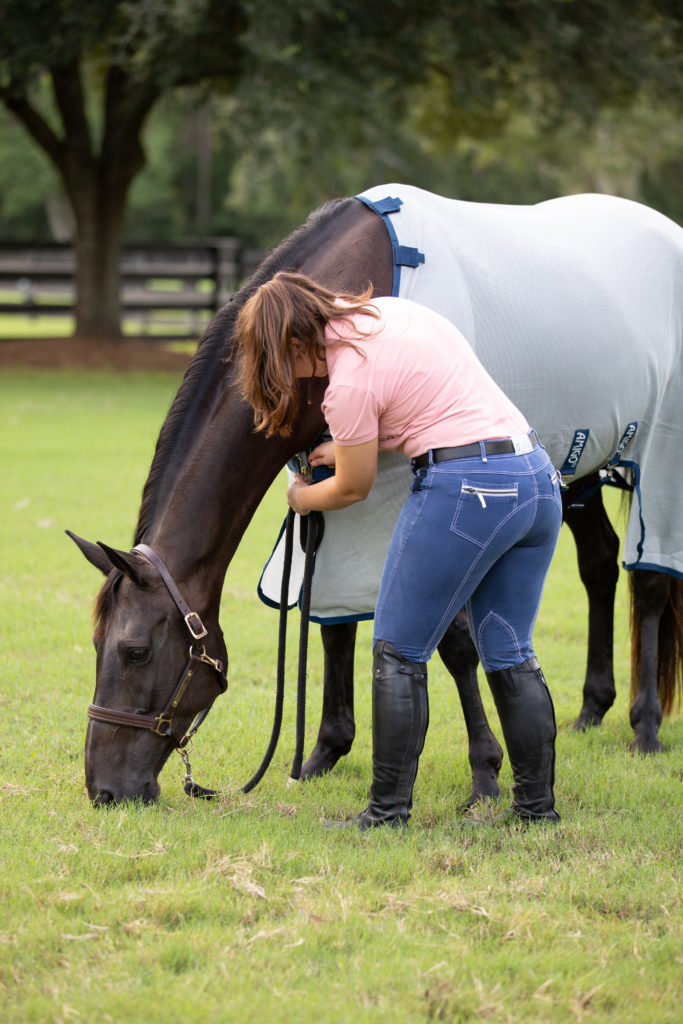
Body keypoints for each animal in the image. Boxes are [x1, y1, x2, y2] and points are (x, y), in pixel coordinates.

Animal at [70, 192, 683, 802]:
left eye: (135, 651)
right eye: (95, 644)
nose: (106, 790)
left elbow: (453, 640)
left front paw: (485, 770)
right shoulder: (333, 496)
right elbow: (334, 621)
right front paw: (322, 754)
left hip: (657, 459)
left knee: (650, 581)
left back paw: (646, 727)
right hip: (577, 467)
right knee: (600, 563)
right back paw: (590, 710)